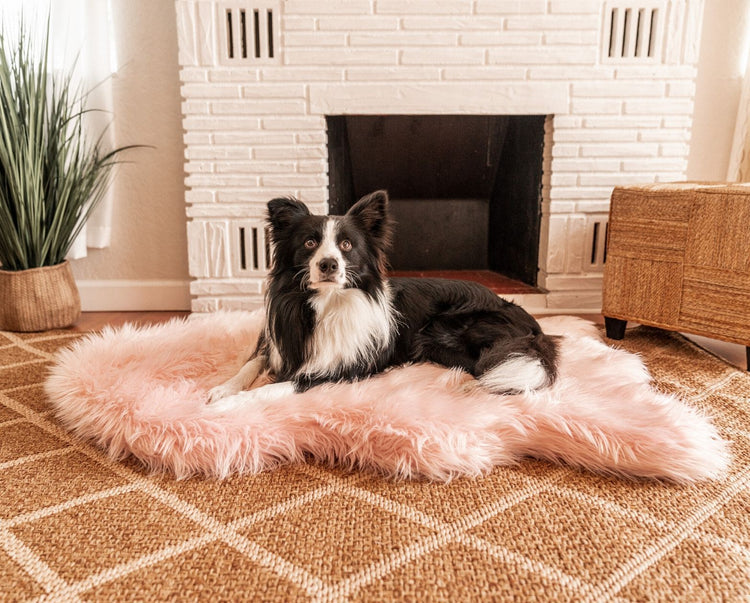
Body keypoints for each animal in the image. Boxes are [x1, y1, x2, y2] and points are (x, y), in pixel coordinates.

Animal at [206, 192, 560, 410]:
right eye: (309, 243)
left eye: (347, 245)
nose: (328, 264)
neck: (325, 304)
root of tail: (530, 322)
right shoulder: (276, 343)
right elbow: (251, 364)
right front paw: (222, 389)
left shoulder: (338, 371)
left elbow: (274, 387)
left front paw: (228, 404)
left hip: (448, 328)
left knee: (498, 364)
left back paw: (477, 387)